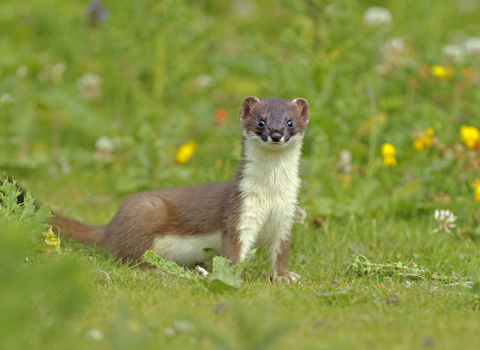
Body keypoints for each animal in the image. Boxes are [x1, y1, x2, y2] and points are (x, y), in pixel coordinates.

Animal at [49, 95, 312, 282]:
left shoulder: (287, 214)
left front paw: (286, 276)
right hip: (147, 212)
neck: (271, 193)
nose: (276, 133)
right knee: (130, 257)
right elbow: (234, 250)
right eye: (261, 121)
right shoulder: (239, 211)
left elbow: (281, 252)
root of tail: (112, 226)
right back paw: (155, 270)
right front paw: (232, 276)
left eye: (289, 122)